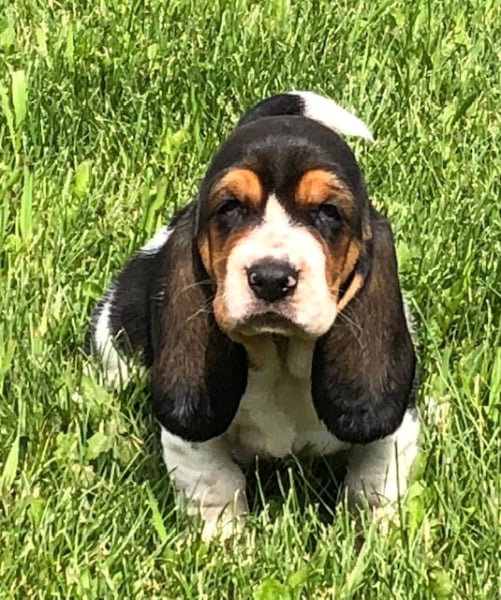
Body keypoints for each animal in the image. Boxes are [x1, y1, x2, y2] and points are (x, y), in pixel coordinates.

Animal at [86, 91, 418, 540]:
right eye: (230, 208)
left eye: (329, 211)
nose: (272, 278)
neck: (279, 352)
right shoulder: (190, 442)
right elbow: (215, 483)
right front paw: (225, 544)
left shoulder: (396, 429)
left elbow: (374, 482)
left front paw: (375, 540)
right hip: (116, 336)